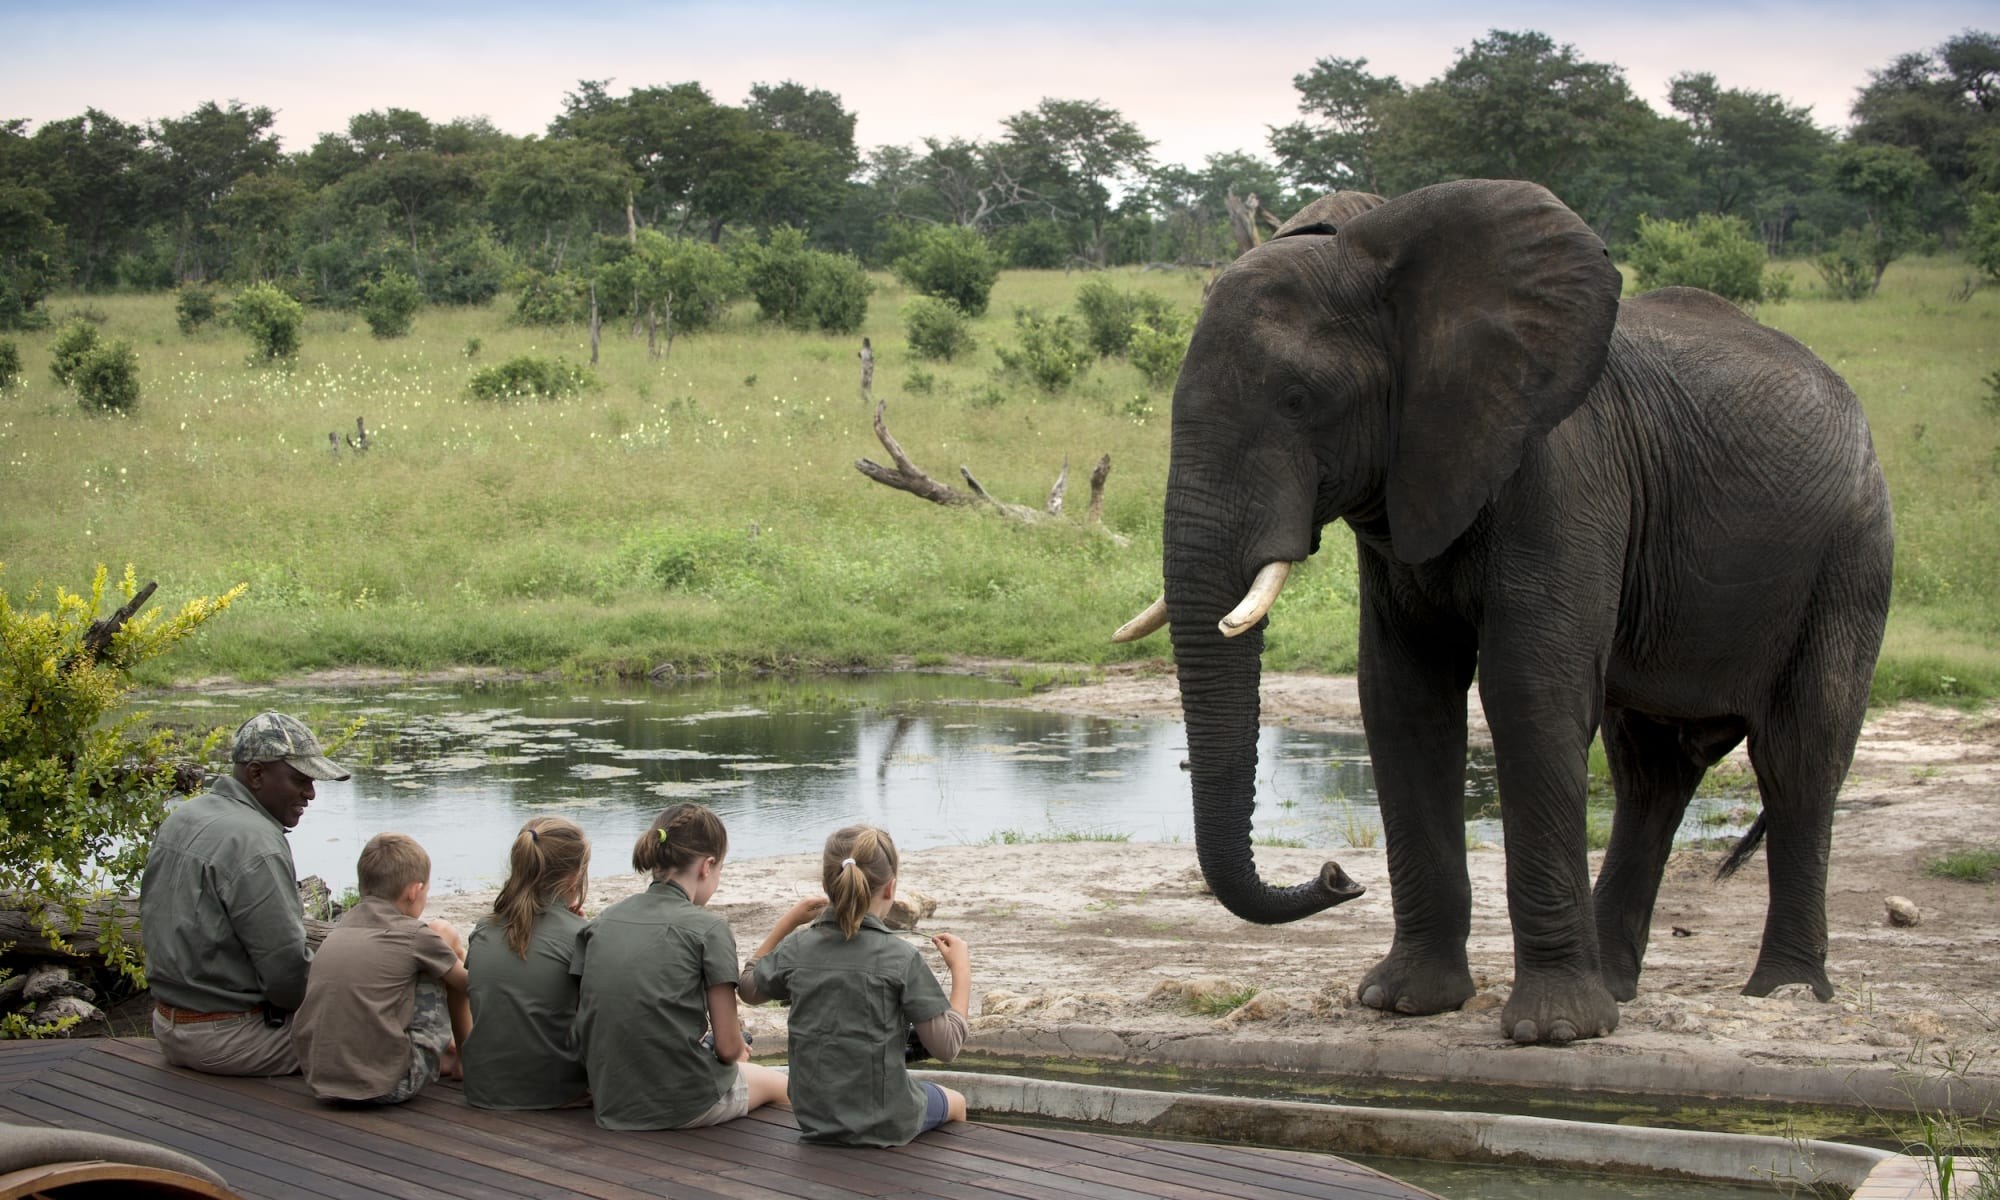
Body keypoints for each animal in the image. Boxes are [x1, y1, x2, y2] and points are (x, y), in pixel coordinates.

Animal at [1113, 179, 1894, 1045]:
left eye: (1300, 399)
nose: (1338, 875)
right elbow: (1402, 698)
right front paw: (1403, 1002)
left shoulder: (1565, 475)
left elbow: (1530, 692)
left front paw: (1553, 1033)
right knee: (1650, 770)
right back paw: (1617, 988)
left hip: (1852, 554)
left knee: (1798, 755)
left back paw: (1782, 993)